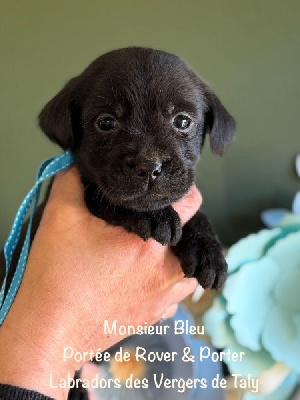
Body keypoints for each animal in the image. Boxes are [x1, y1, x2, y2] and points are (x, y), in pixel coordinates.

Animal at [38, 47, 234, 290]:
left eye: (182, 121)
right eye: (105, 123)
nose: (149, 166)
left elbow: (197, 215)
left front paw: (208, 250)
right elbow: (112, 200)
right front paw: (154, 216)